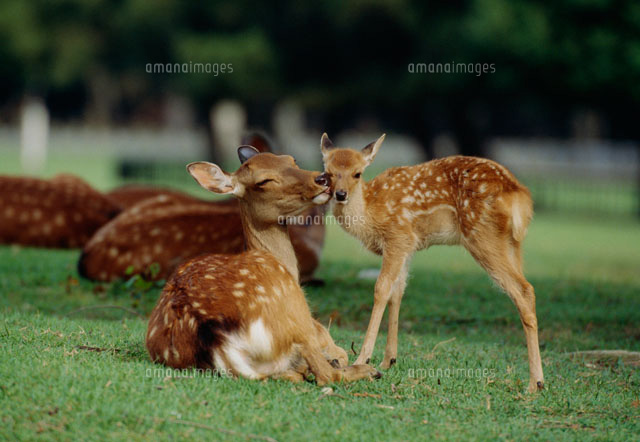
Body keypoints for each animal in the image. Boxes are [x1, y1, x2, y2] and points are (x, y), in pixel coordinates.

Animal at [145, 146, 381, 384]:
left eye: (291, 160)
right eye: (263, 181)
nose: (322, 178)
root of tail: (218, 341)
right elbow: (339, 353)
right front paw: (337, 360)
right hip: (297, 317)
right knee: (327, 374)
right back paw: (367, 369)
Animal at [319, 133, 544, 393]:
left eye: (357, 173)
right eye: (329, 172)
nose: (340, 194)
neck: (371, 213)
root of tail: (519, 195)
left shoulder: (397, 236)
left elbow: (381, 289)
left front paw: (363, 359)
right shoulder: (408, 245)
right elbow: (398, 292)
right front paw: (389, 360)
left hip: (482, 235)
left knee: (523, 289)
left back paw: (535, 383)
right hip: (512, 243)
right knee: (527, 289)